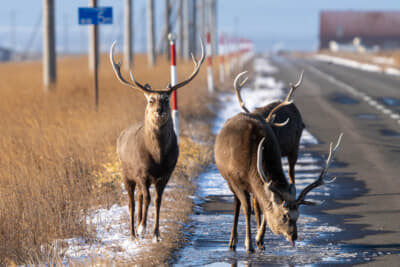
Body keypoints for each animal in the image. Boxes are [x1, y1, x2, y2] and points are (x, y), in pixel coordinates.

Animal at [108, 39, 205, 243]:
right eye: (151, 100)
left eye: (167, 100)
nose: (159, 111)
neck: (157, 156)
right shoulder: (141, 172)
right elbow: (148, 198)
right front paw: (142, 228)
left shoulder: (166, 173)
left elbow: (158, 200)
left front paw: (156, 234)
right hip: (126, 173)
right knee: (132, 201)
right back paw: (133, 232)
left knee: (139, 198)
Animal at [214, 73, 342, 251]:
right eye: (285, 216)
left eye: (298, 216)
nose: (294, 236)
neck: (251, 165)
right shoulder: (236, 181)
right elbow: (247, 207)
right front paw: (249, 243)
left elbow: (263, 205)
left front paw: (260, 239)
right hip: (228, 179)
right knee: (237, 204)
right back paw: (233, 241)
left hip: (293, 150)